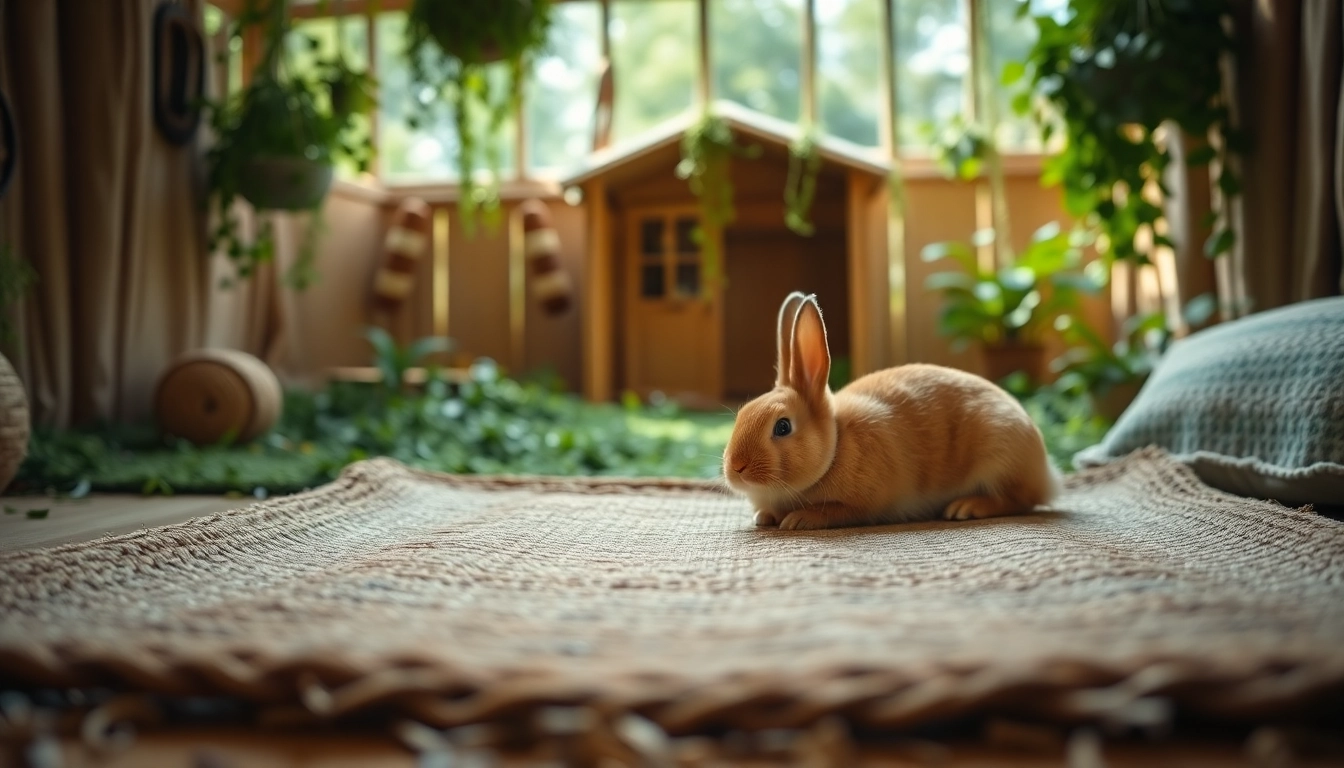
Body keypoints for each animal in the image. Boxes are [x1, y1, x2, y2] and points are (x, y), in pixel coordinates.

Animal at [722, 291, 1062, 531]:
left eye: (782, 426)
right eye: (742, 414)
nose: (736, 467)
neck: (837, 446)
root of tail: (1045, 469)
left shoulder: (864, 505)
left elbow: (838, 511)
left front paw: (799, 519)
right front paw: (763, 516)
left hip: (1000, 459)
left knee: (1019, 500)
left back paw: (967, 507)